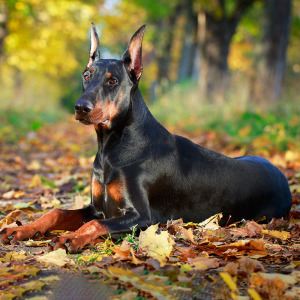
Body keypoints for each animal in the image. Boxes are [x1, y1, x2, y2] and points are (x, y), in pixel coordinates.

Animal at [0, 24, 290, 253]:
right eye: (86, 76)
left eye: (113, 81)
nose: (80, 107)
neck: (112, 147)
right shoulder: (97, 207)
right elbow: (56, 211)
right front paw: (23, 229)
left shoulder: (143, 217)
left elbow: (95, 224)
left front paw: (71, 238)